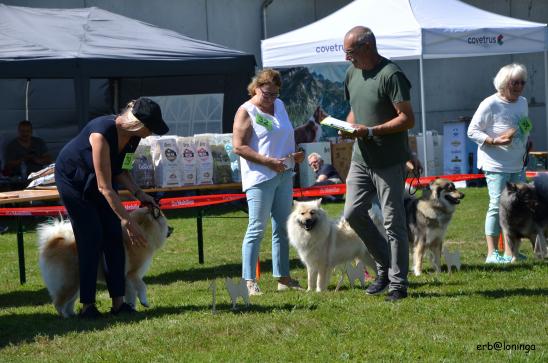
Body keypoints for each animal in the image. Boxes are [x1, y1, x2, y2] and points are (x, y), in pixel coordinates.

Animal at [38, 208, 173, 318]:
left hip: (76, 286)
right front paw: (144, 302)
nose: (172, 228)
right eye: (166, 223)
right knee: (58, 302)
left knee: (68, 302)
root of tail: (54, 242)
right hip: (69, 282)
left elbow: (131, 294)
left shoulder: (126, 279)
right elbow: (142, 287)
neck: (143, 233)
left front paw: (131, 308)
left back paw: (73, 315)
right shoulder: (132, 273)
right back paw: (65, 317)